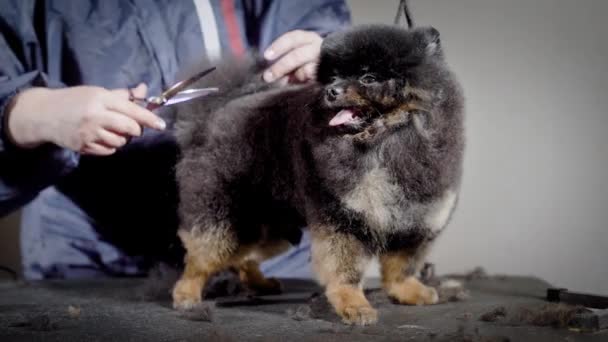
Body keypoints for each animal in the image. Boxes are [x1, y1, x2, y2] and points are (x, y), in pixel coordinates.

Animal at [171, 24, 466, 326]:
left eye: (368, 77)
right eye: (334, 77)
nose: (332, 91)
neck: (379, 145)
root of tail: (213, 113)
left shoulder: (415, 218)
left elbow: (401, 266)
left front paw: (408, 291)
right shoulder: (342, 219)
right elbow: (345, 270)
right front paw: (354, 306)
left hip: (271, 225)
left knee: (244, 257)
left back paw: (260, 283)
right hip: (225, 216)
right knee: (200, 259)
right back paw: (187, 296)